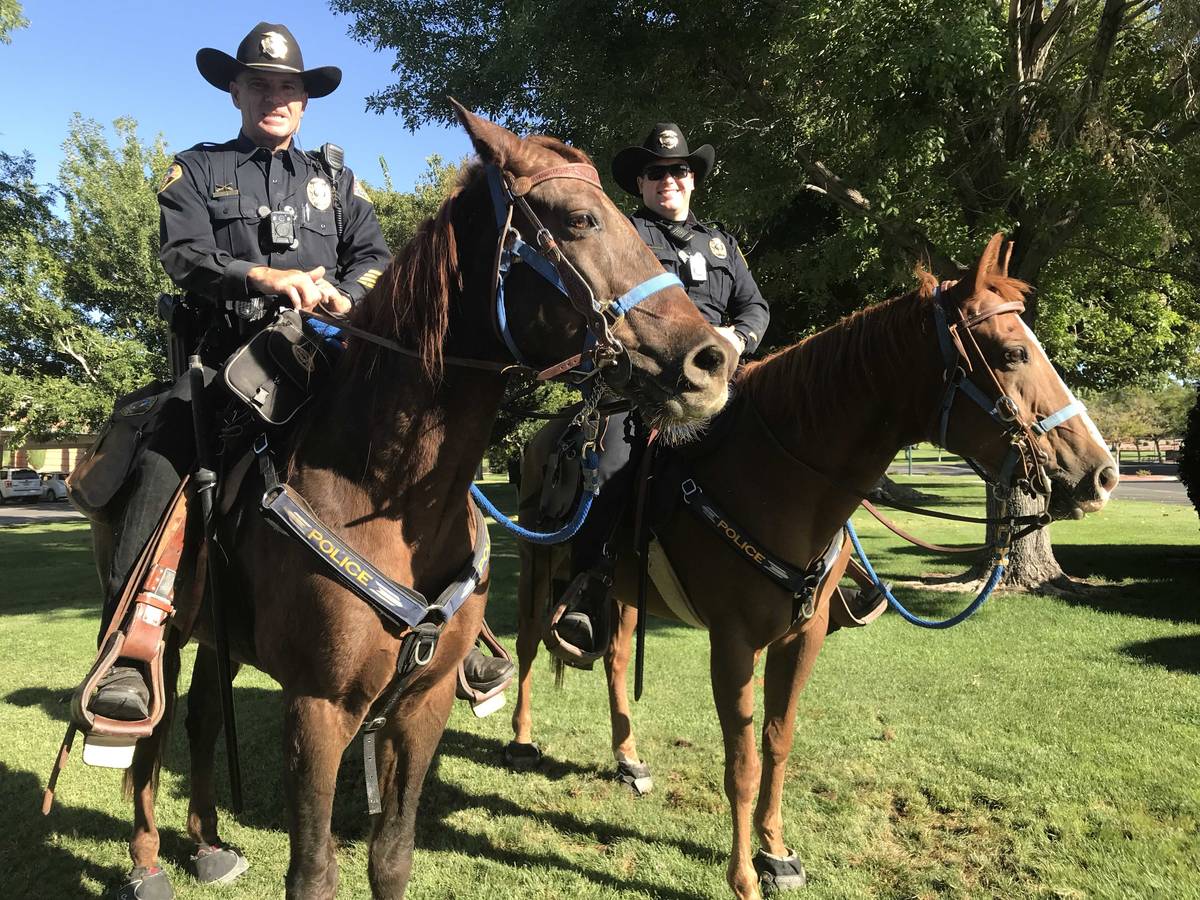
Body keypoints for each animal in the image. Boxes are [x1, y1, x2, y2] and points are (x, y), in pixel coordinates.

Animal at [93, 107, 734, 900]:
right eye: (581, 218)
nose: (713, 361)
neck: (384, 495)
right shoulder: (318, 709)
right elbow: (314, 873)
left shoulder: (421, 706)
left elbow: (391, 855)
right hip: (168, 630)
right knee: (148, 733)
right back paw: (147, 859)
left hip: (217, 635)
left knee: (204, 720)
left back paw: (209, 844)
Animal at [506, 236, 1113, 900]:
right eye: (1012, 353)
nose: (1101, 474)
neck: (777, 478)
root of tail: (545, 438)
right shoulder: (732, 642)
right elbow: (742, 761)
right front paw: (744, 876)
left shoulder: (805, 633)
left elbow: (777, 741)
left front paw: (775, 854)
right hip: (539, 563)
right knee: (530, 642)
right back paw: (521, 740)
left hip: (624, 590)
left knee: (615, 657)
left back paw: (628, 759)